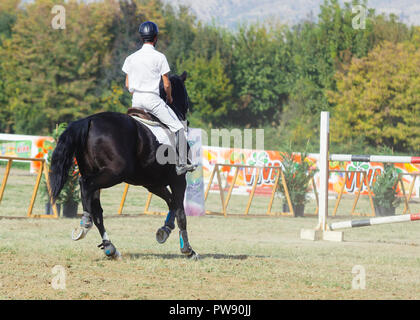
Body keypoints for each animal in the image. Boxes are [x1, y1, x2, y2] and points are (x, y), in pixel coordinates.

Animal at [50, 71, 198, 258]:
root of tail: (89, 121)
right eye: (185, 95)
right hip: (114, 173)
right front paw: (187, 249)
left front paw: (165, 230)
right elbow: (180, 211)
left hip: (99, 173)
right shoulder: (178, 180)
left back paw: (109, 247)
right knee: (85, 185)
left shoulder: (153, 184)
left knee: (97, 209)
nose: (186, 119)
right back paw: (86, 222)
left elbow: (172, 203)